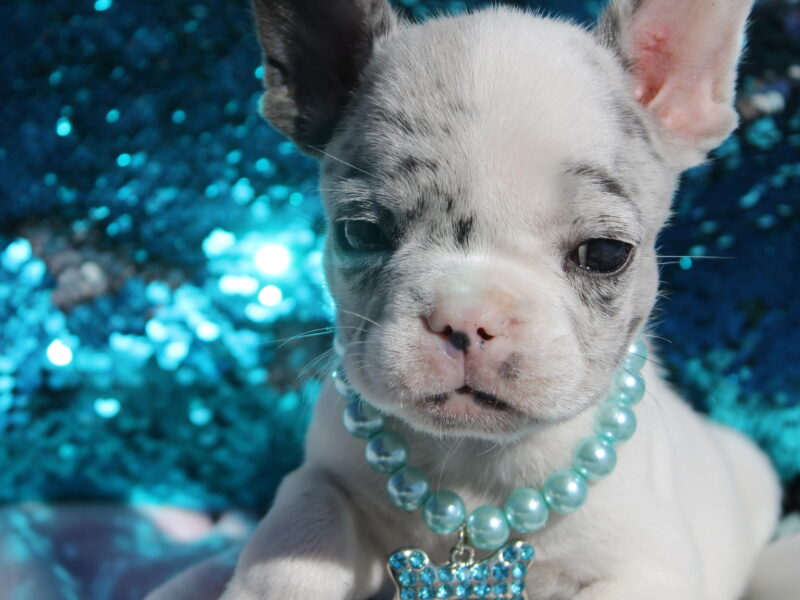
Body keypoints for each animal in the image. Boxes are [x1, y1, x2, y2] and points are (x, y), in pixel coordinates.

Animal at [150, 1, 783, 598]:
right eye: (361, 233)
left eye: (605, 253)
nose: (466, 319)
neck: (473, 460)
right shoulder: (323, 478)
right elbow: (301, 529)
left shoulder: (648, 567)